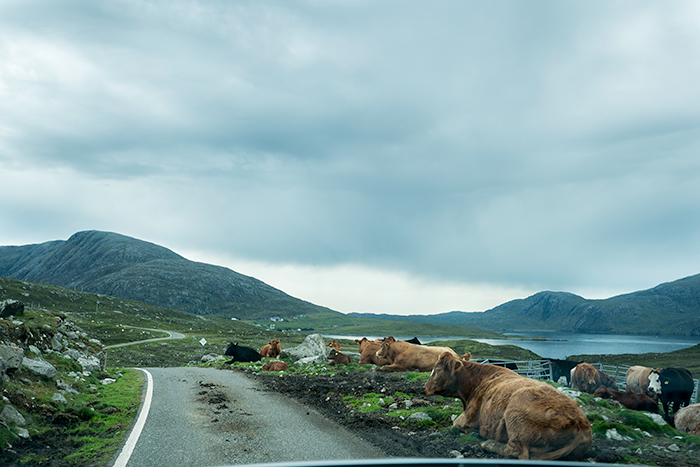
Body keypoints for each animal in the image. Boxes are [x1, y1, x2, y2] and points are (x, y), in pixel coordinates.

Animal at [426, 352, 592, 460]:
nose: (425, 386)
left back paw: (488, 443)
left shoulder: (469, 415)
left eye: (437, 370)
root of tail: (581, 423)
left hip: (515, 412)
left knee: (518, 451)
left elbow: (456, 422)